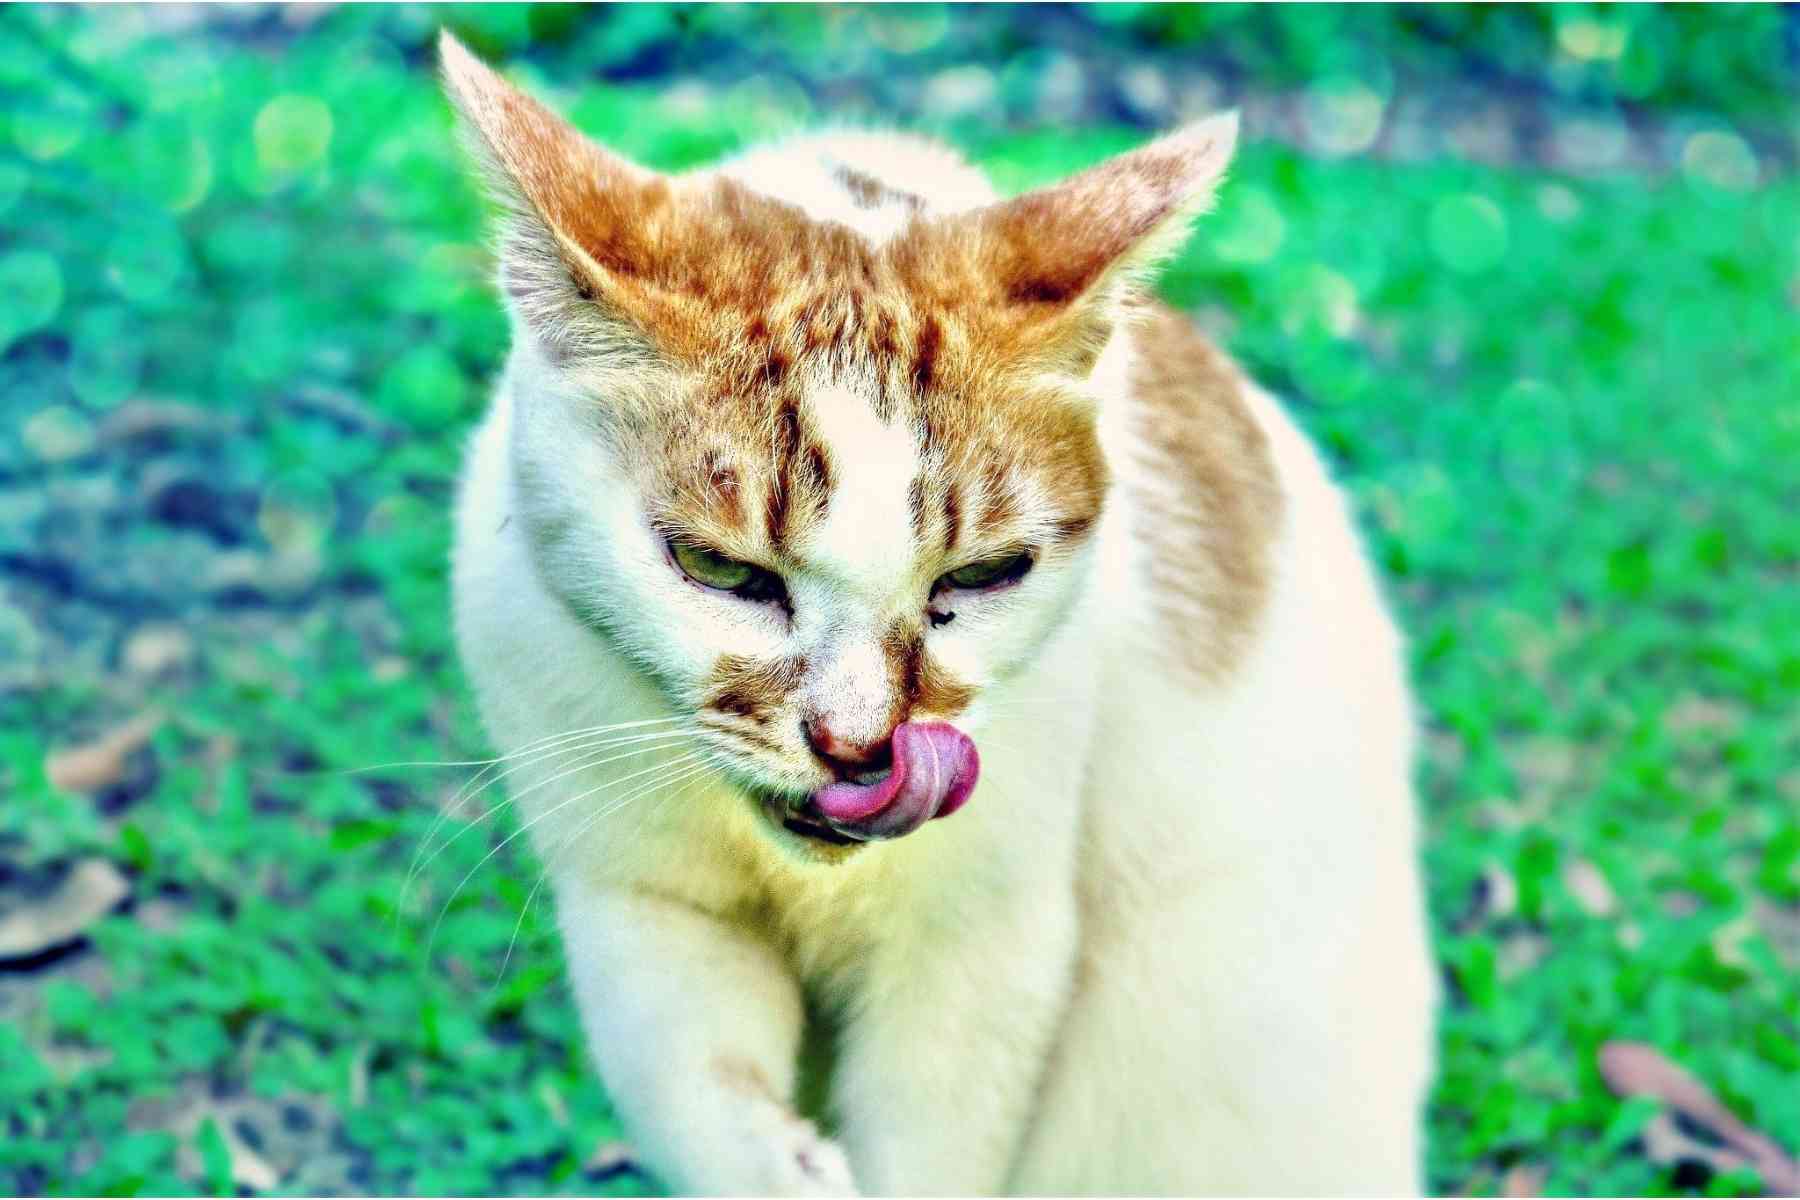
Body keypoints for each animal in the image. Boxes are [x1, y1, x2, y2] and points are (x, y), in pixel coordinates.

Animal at [442, 30, 1440, 1200]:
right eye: (717, 569)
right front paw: (784, 1167)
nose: (858, 746)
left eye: (984, 576)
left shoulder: (981, 948)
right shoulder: (640, 898)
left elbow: (935, 1144)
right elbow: (692, 1090)